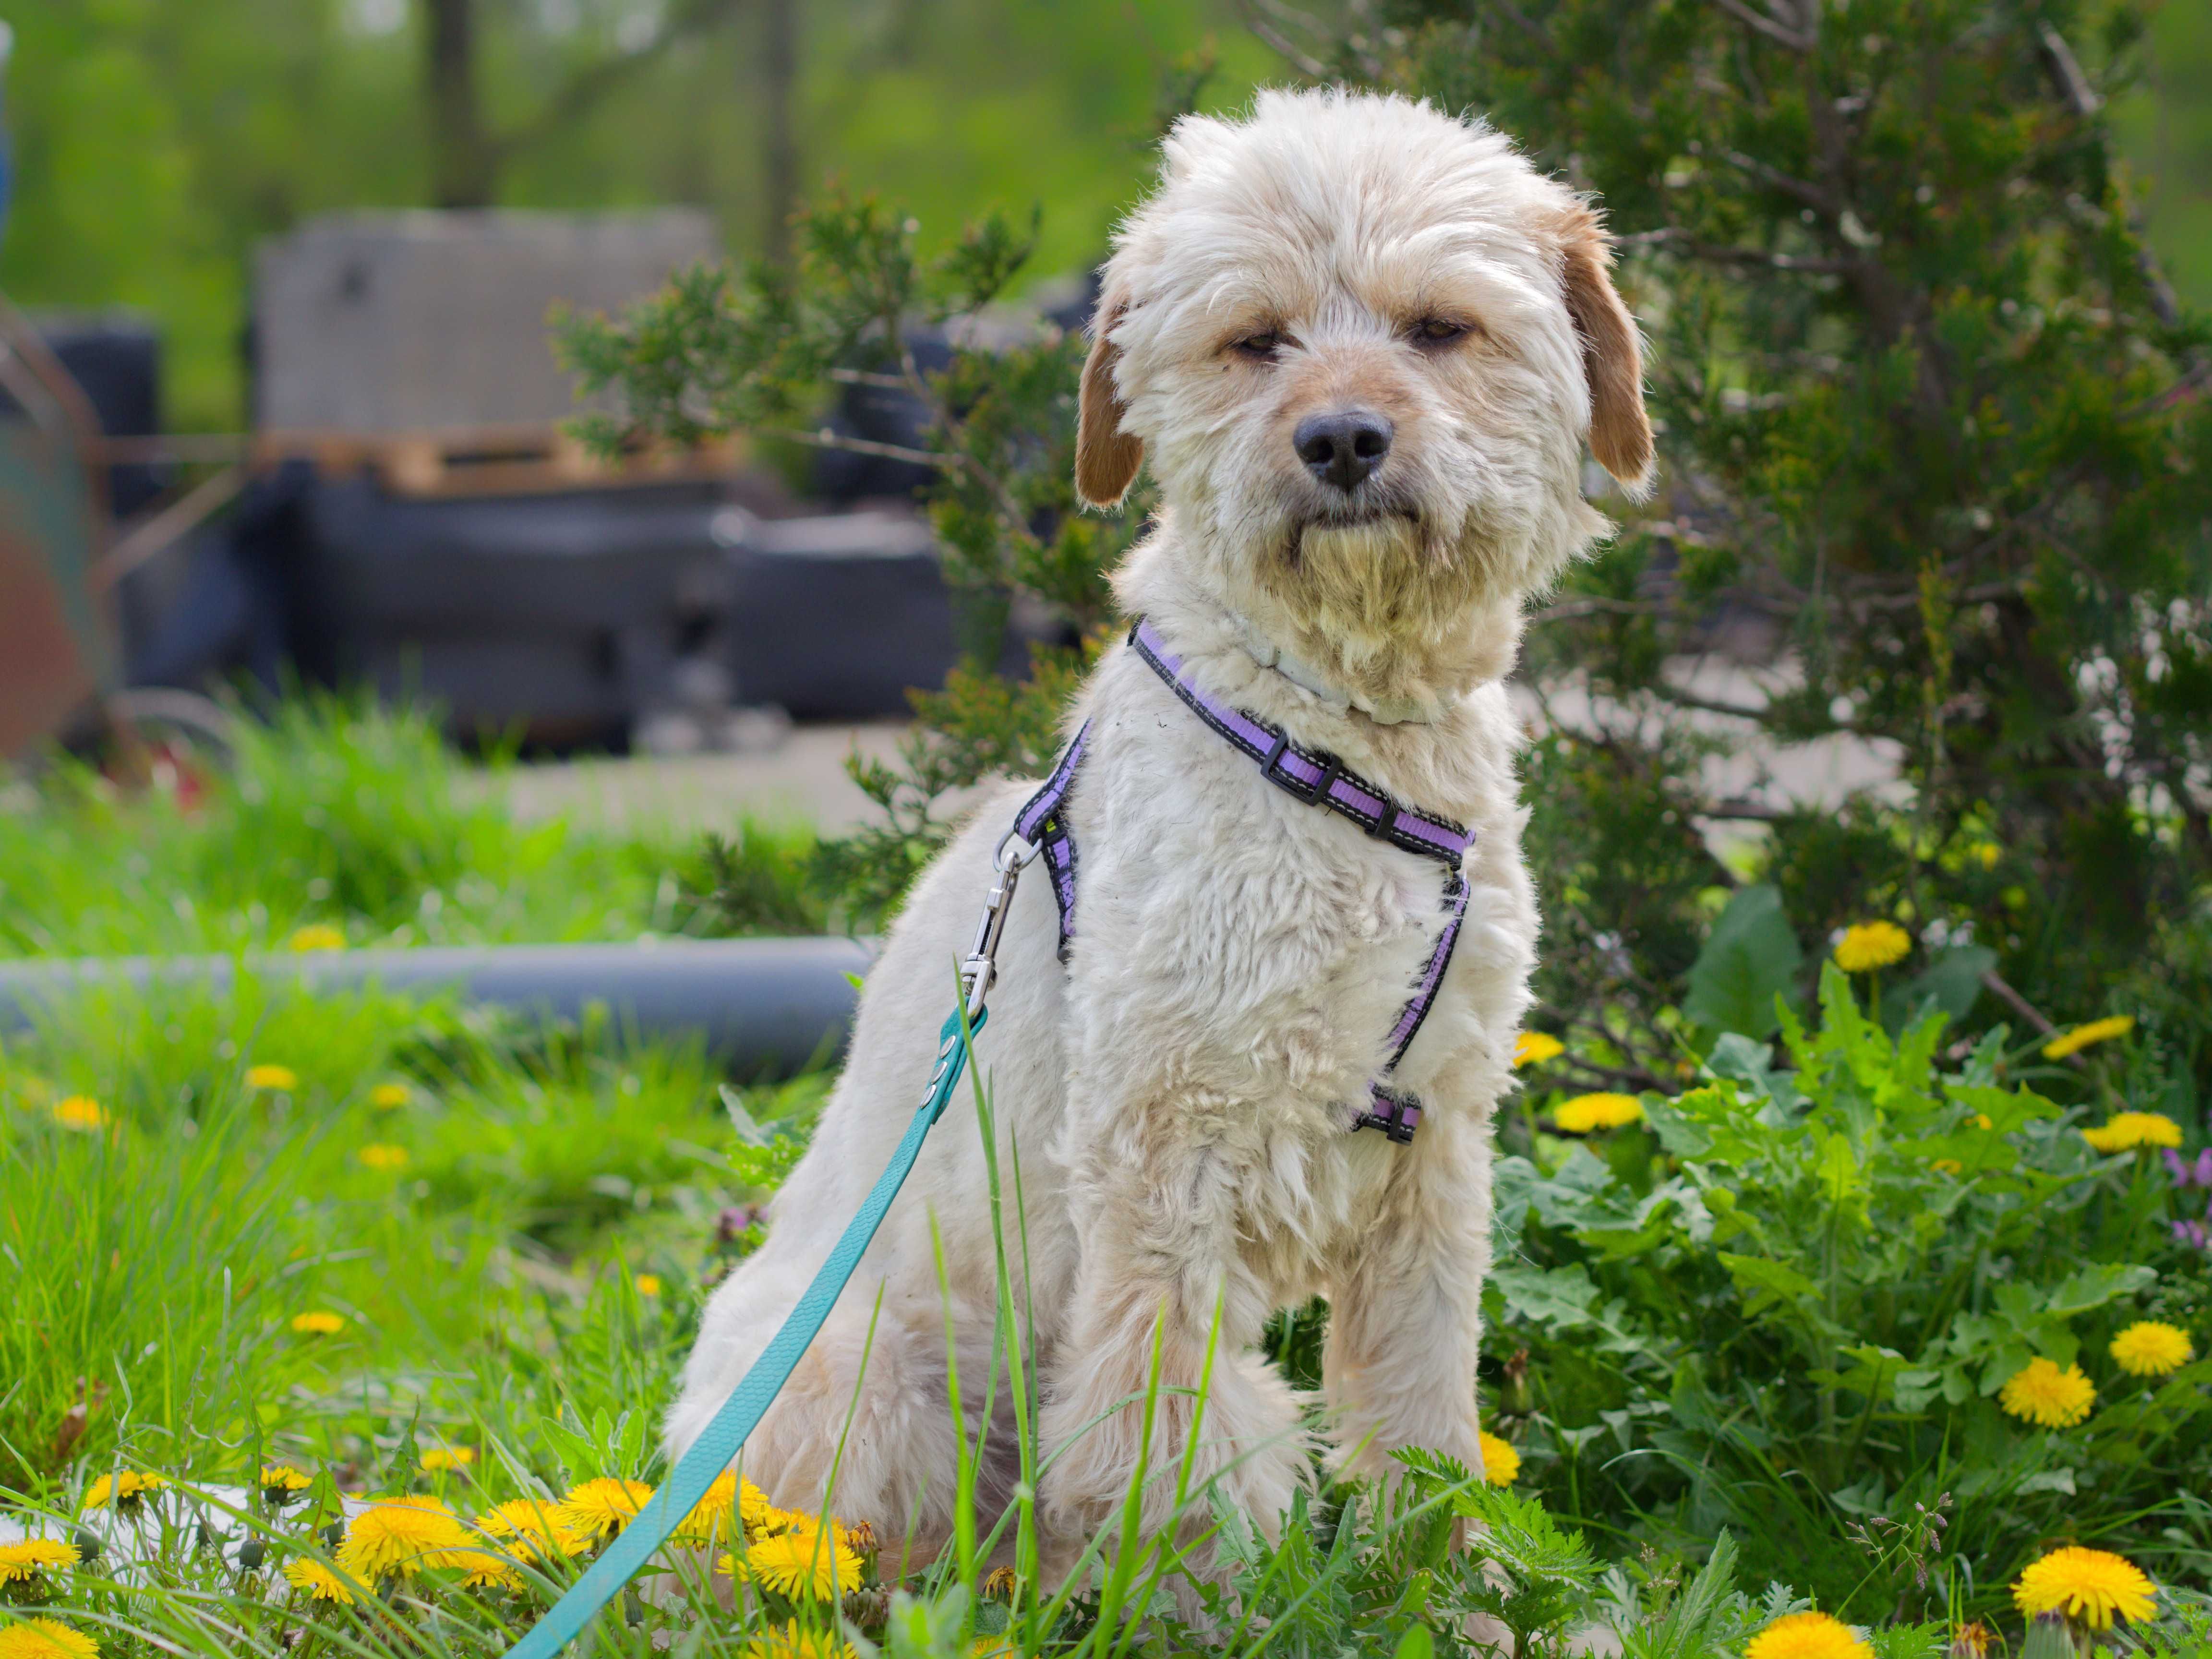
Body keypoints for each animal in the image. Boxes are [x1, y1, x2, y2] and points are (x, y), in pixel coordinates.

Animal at [663, 84, 1654, 1575]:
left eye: (1439, 328)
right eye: (1256, 339)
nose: (1341, 441)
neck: (1341, 733)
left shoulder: (1433, 1155)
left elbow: (1421, 1411)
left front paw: (1453, 1587)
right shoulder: (1160, 1149)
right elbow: (1159, 1427)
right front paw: (1180, 1580)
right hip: (862, 1364)